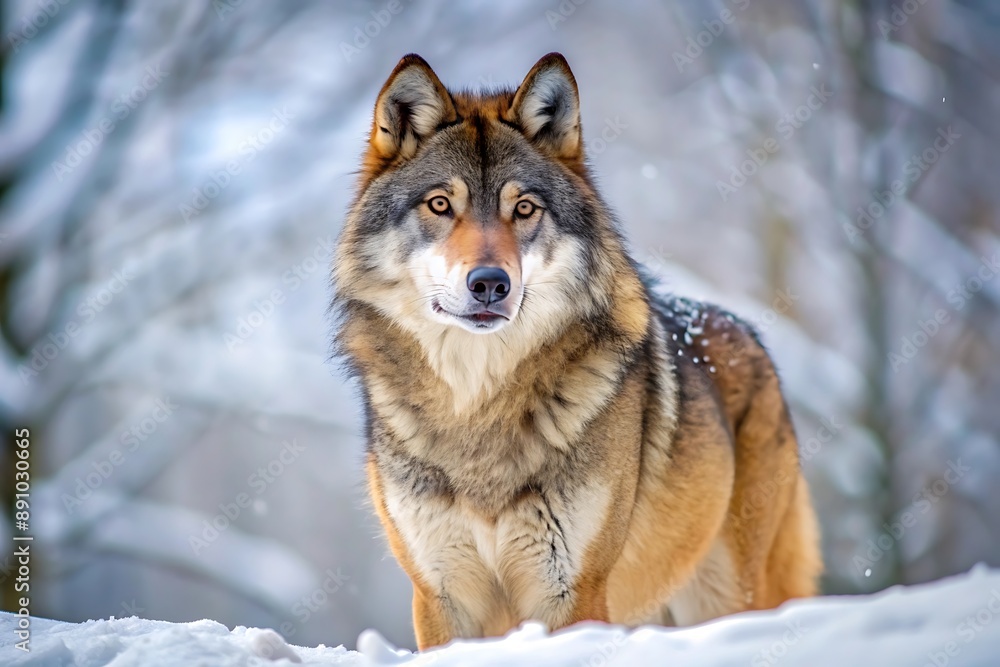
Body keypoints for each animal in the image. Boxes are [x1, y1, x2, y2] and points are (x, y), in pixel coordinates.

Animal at [333, 52, 821, 650]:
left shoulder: (572, 591)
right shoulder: (441, 596)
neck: (479, 406)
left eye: (524, 209)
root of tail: (750, 334)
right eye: (440, 205)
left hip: (728, 597)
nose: (490, 283)